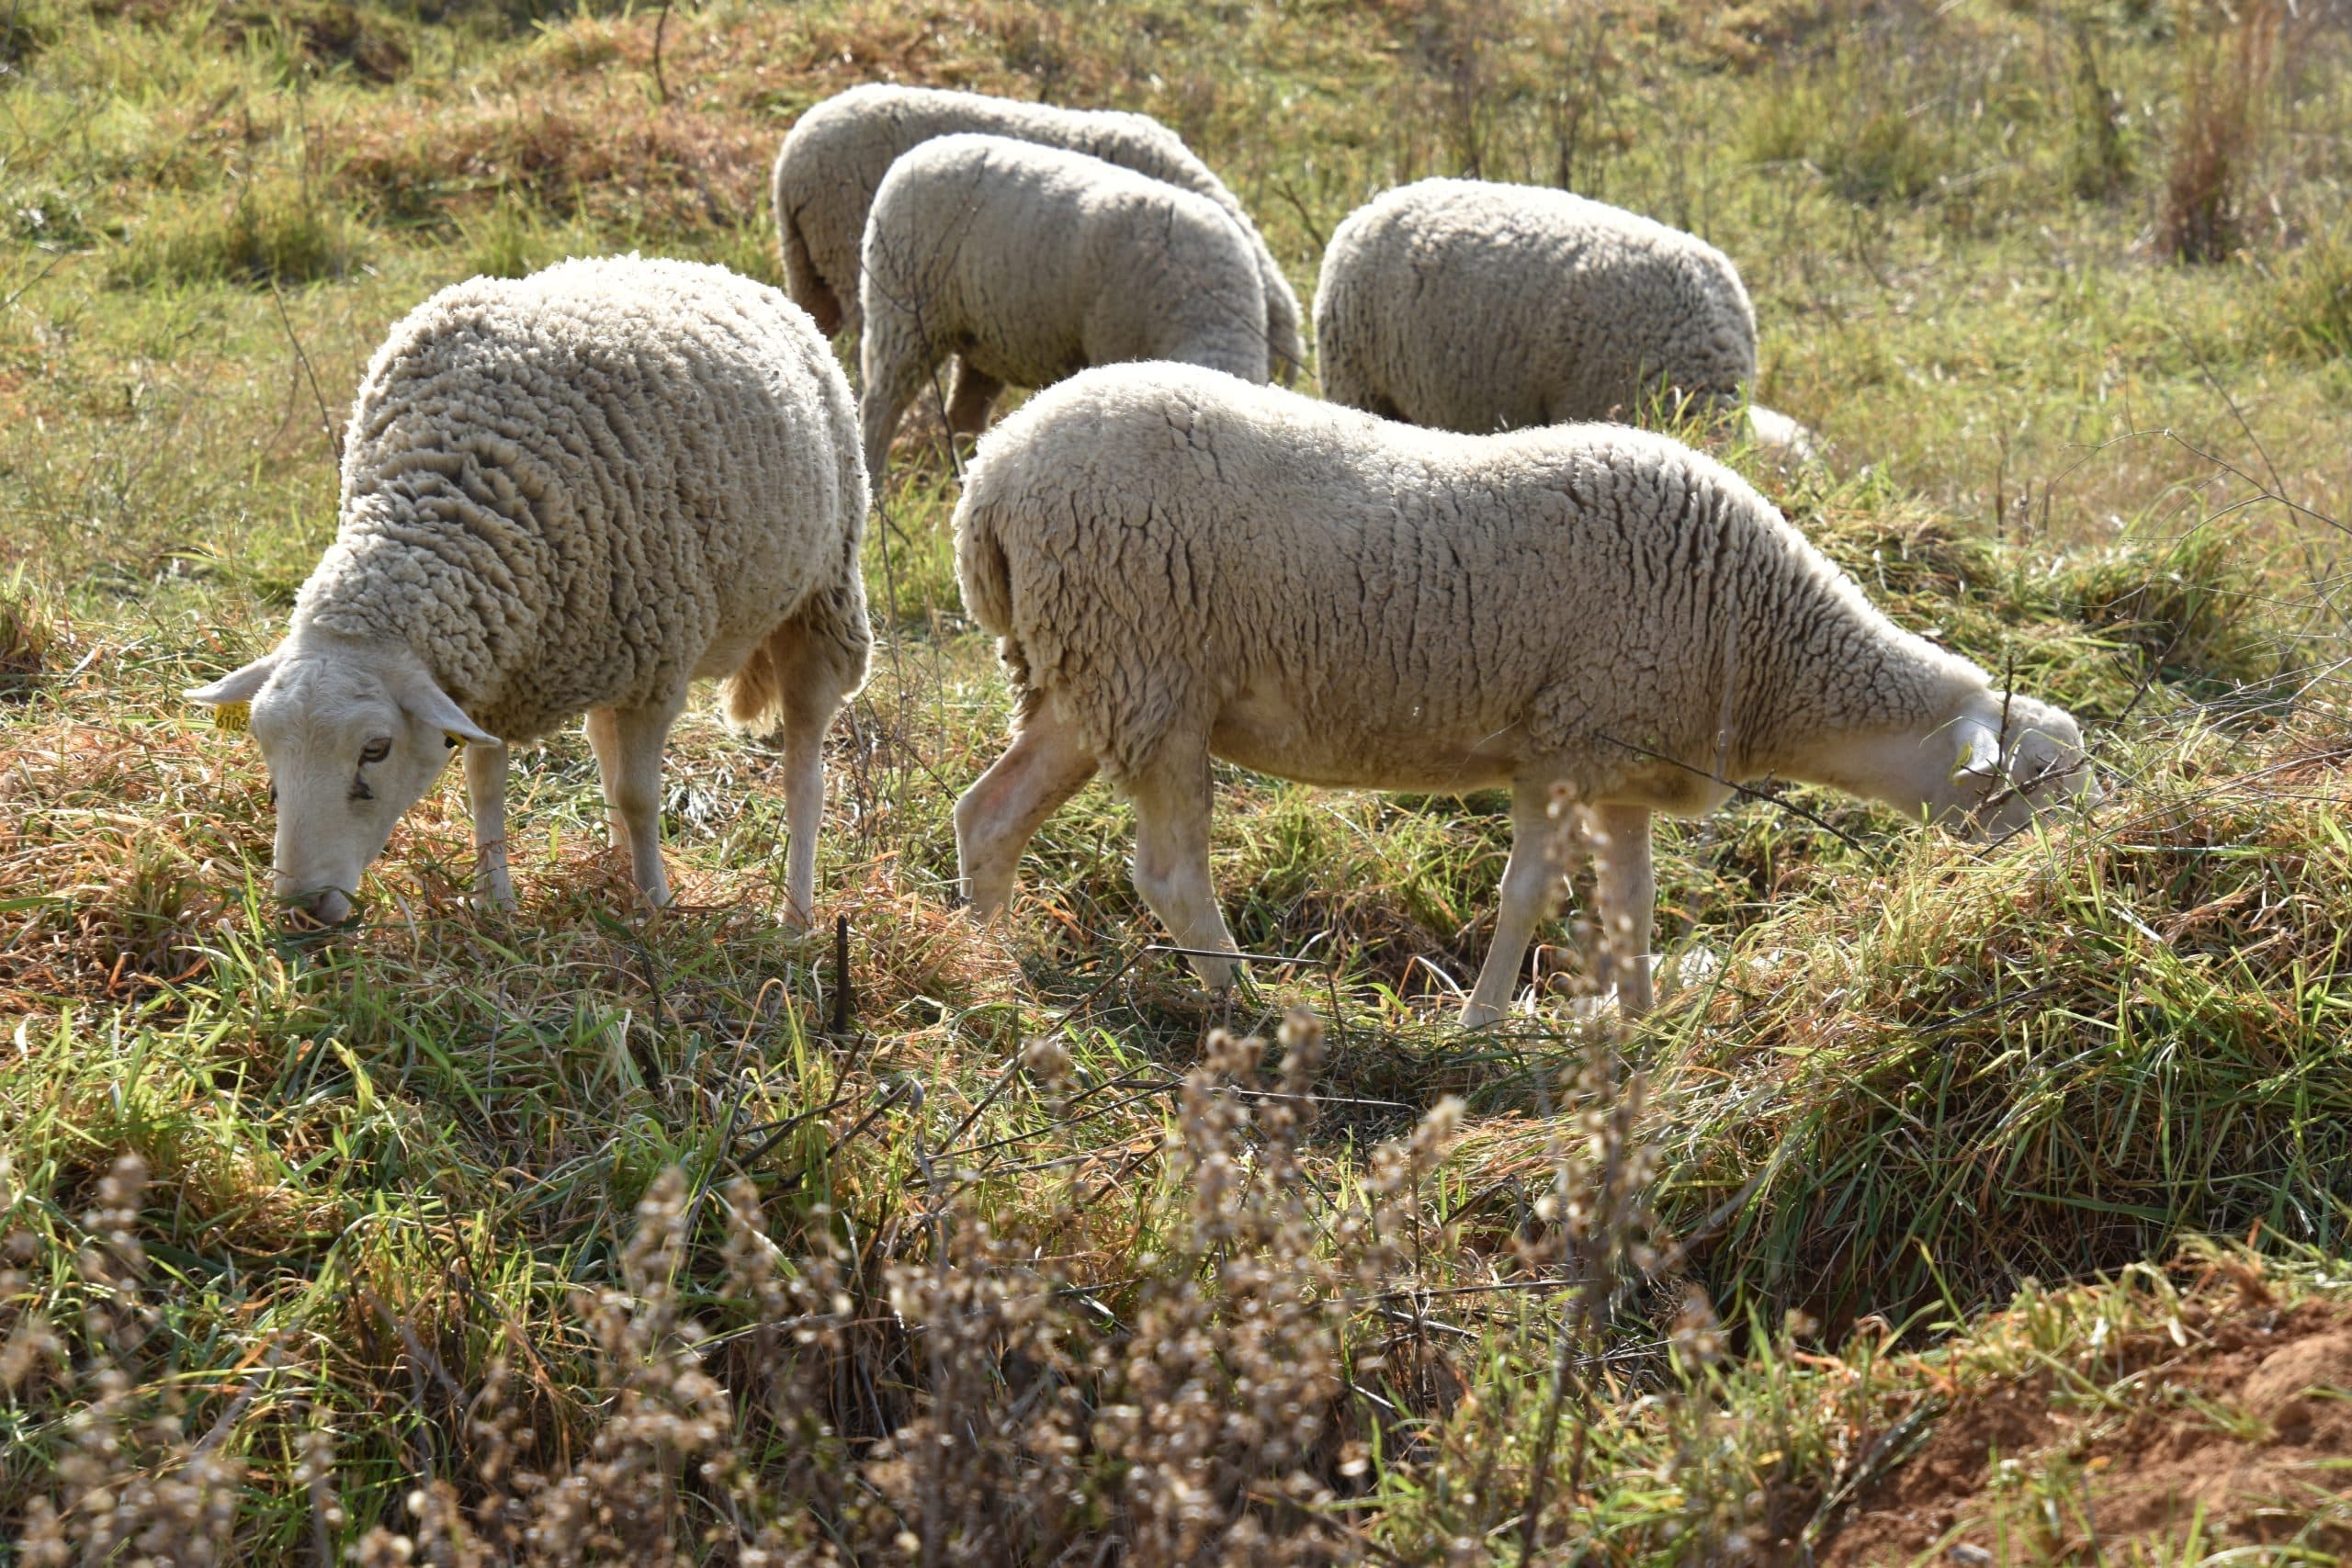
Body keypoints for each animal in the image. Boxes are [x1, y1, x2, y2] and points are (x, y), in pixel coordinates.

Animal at [178, 253, 870, 926]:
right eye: (265, 745)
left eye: (375, 749)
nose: (302, 910)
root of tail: (708, 267)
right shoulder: (491, 672)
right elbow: (486, 781)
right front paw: (497, 903)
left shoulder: (656, 669)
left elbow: (641, 797)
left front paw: (655, 904)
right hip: (608, 635)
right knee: (604, 745)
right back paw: (616, 864)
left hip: (821, 603)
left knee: (803, 778)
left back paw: (795, 918)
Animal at [860, 138, 1279, 486]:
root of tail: (915, 155)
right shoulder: (1113, 345)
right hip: (904, 314)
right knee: (881, 405)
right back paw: (876, 483)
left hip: (981, 339)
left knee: (963, 415)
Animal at [955, 362, 2098, 1024]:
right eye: (2030, 786)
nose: (2076, 883)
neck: (1763, 638)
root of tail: (991, 473)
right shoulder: (1566, 744)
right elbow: (1526, 896)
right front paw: (1484, 1024)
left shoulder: (1628, 764)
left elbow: (1632, 903)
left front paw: (1640, 1020)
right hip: (1149, 671)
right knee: (1168, 872)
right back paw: (1252, 1003)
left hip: (1081, 675)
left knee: (988, 815)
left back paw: (986, 967)